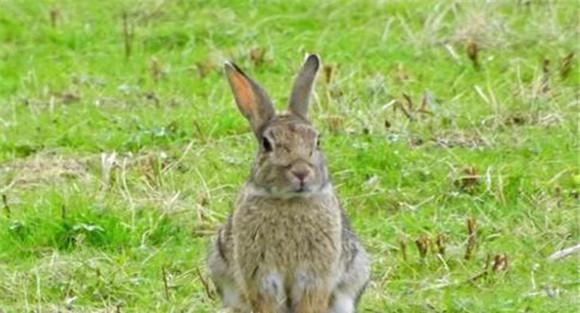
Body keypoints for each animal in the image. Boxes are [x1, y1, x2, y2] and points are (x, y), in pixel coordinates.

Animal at [208, 54, 370, 312]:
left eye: (317, 141)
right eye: (267, 144)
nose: (301, 172)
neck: (289, 201)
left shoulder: (314, 277)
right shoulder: (262, 277)